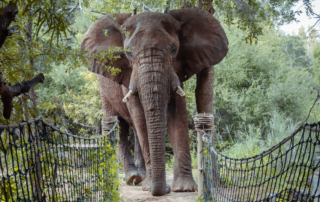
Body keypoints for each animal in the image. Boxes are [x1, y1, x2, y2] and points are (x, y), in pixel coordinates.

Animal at [81, 7, 229, 196]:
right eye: (128, 53)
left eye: (174, 49)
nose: (165, 189)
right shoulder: (127, 73)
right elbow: (139, 117)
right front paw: (149, 187)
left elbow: (177, 113)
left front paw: (184, 188)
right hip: (104, 89)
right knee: (119, 125)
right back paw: (134, 178)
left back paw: (140, 178)